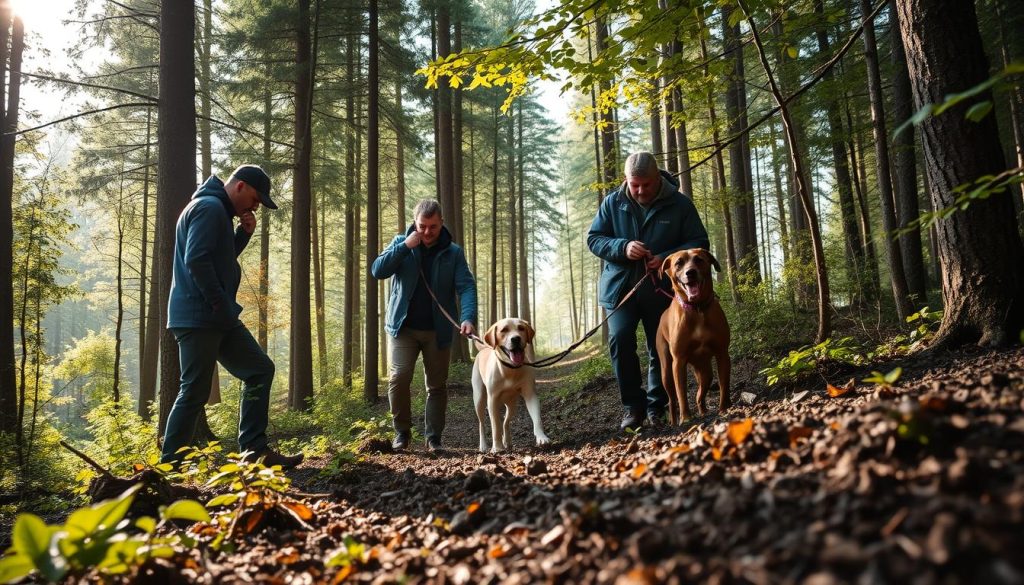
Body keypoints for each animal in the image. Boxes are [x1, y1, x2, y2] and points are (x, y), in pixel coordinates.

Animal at [471, 319, 552, 452]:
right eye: (504, 330)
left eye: (521, 328)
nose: (516, 339)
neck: (510, 369)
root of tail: (484, 348)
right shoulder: (492, 400)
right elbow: (495, 426)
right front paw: (497, 447)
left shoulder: (530, 394)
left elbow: (537, 418)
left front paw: (542, 437)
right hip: (479, 399)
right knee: (482, 423)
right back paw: (483, 445)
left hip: (512, 404)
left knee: (506, 422)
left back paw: (507, 441)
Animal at [655, 249, 729, 424]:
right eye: (678, 263)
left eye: (699, 260)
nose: (691, 272)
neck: (697, 309)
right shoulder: (678, 362)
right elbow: (681, 394)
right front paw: (686, 418)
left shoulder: (722, 353)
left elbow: (724, 385)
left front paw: (724, 409)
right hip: (666, 371)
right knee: (672, 399)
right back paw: (674, 421)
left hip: (705, 370)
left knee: (700, 393)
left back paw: (703, 411)